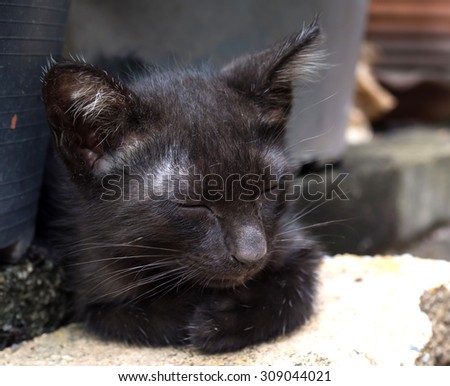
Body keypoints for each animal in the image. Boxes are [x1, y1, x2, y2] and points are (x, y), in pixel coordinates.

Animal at [41, 21, 324, 352]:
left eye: (268, 190)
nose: (252, 255)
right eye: (193, 205)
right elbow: (145, 317)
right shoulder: (94, 288)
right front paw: (198, 313)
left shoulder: (293, 242)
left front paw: (227, 319)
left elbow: (295, 292)